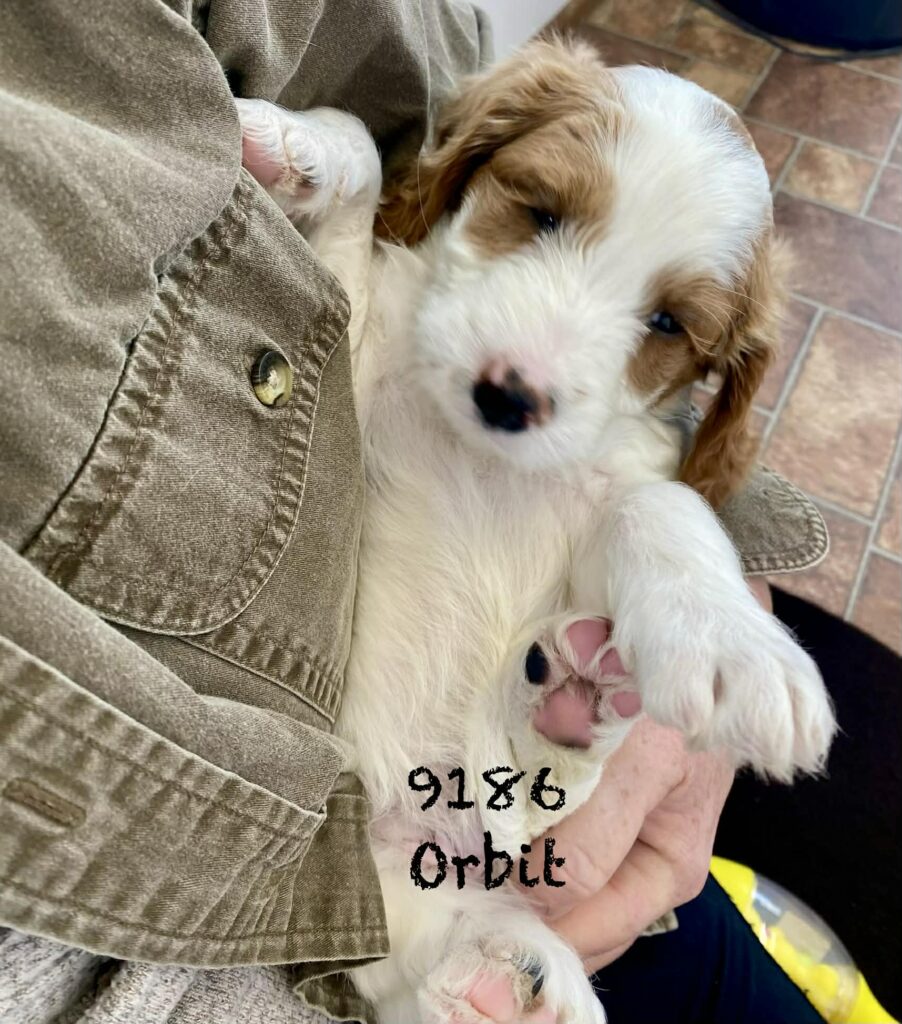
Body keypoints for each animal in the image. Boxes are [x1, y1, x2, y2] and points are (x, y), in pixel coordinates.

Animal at [237, 38, 836, 1024]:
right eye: (541, 211)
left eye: (668, 323)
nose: (510, 395)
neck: (487, 453)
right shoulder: (356, 371)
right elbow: (365, 153)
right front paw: (293, 145)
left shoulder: (623, 483)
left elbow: (664, 510)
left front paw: (732, 641)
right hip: (391, 891)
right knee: (401, 963)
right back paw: (503, 969)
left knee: (535, 802)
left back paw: (571, 706)